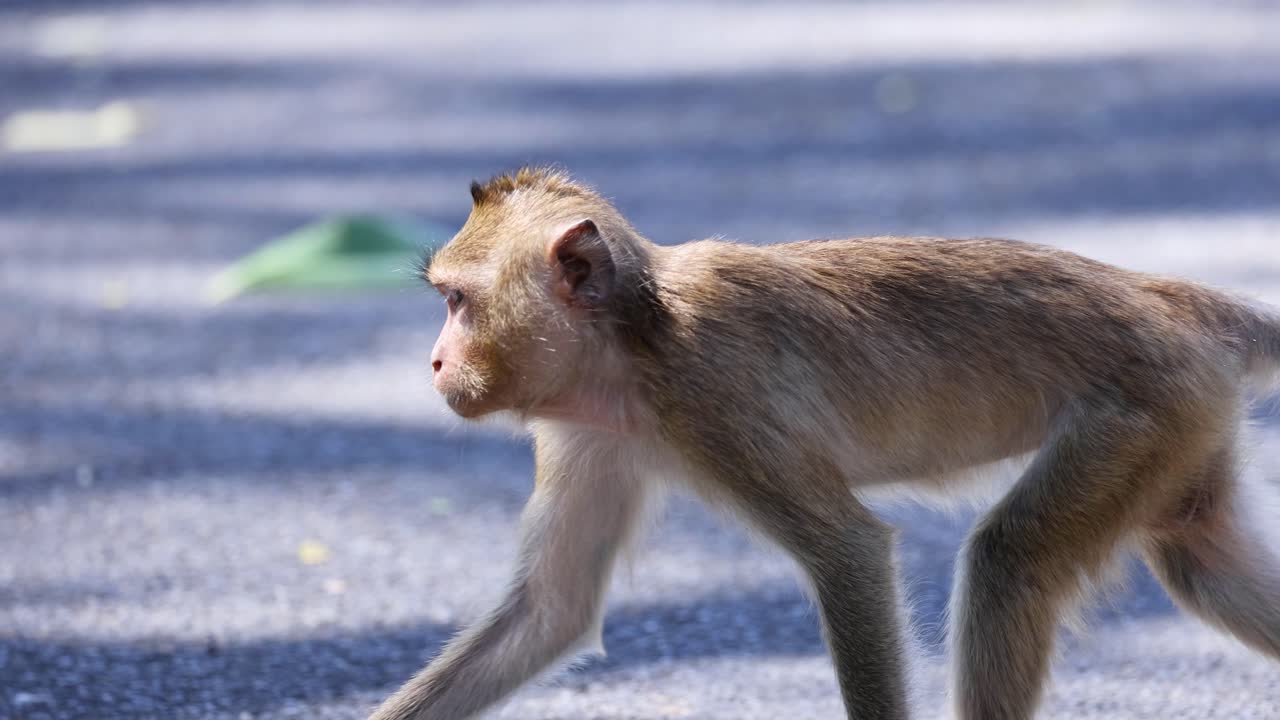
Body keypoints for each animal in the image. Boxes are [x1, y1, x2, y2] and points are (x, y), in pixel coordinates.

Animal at [369, 167, 1280, 720]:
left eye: (457, 301)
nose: (435, 361)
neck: (632, 347)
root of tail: (1172, 299)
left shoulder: (716, 397)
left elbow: (848, 551)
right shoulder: (587, 433)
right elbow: (552, 609)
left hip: (1140, 411)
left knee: (1009, 561)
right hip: (1184, 422)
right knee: (1202, 563)